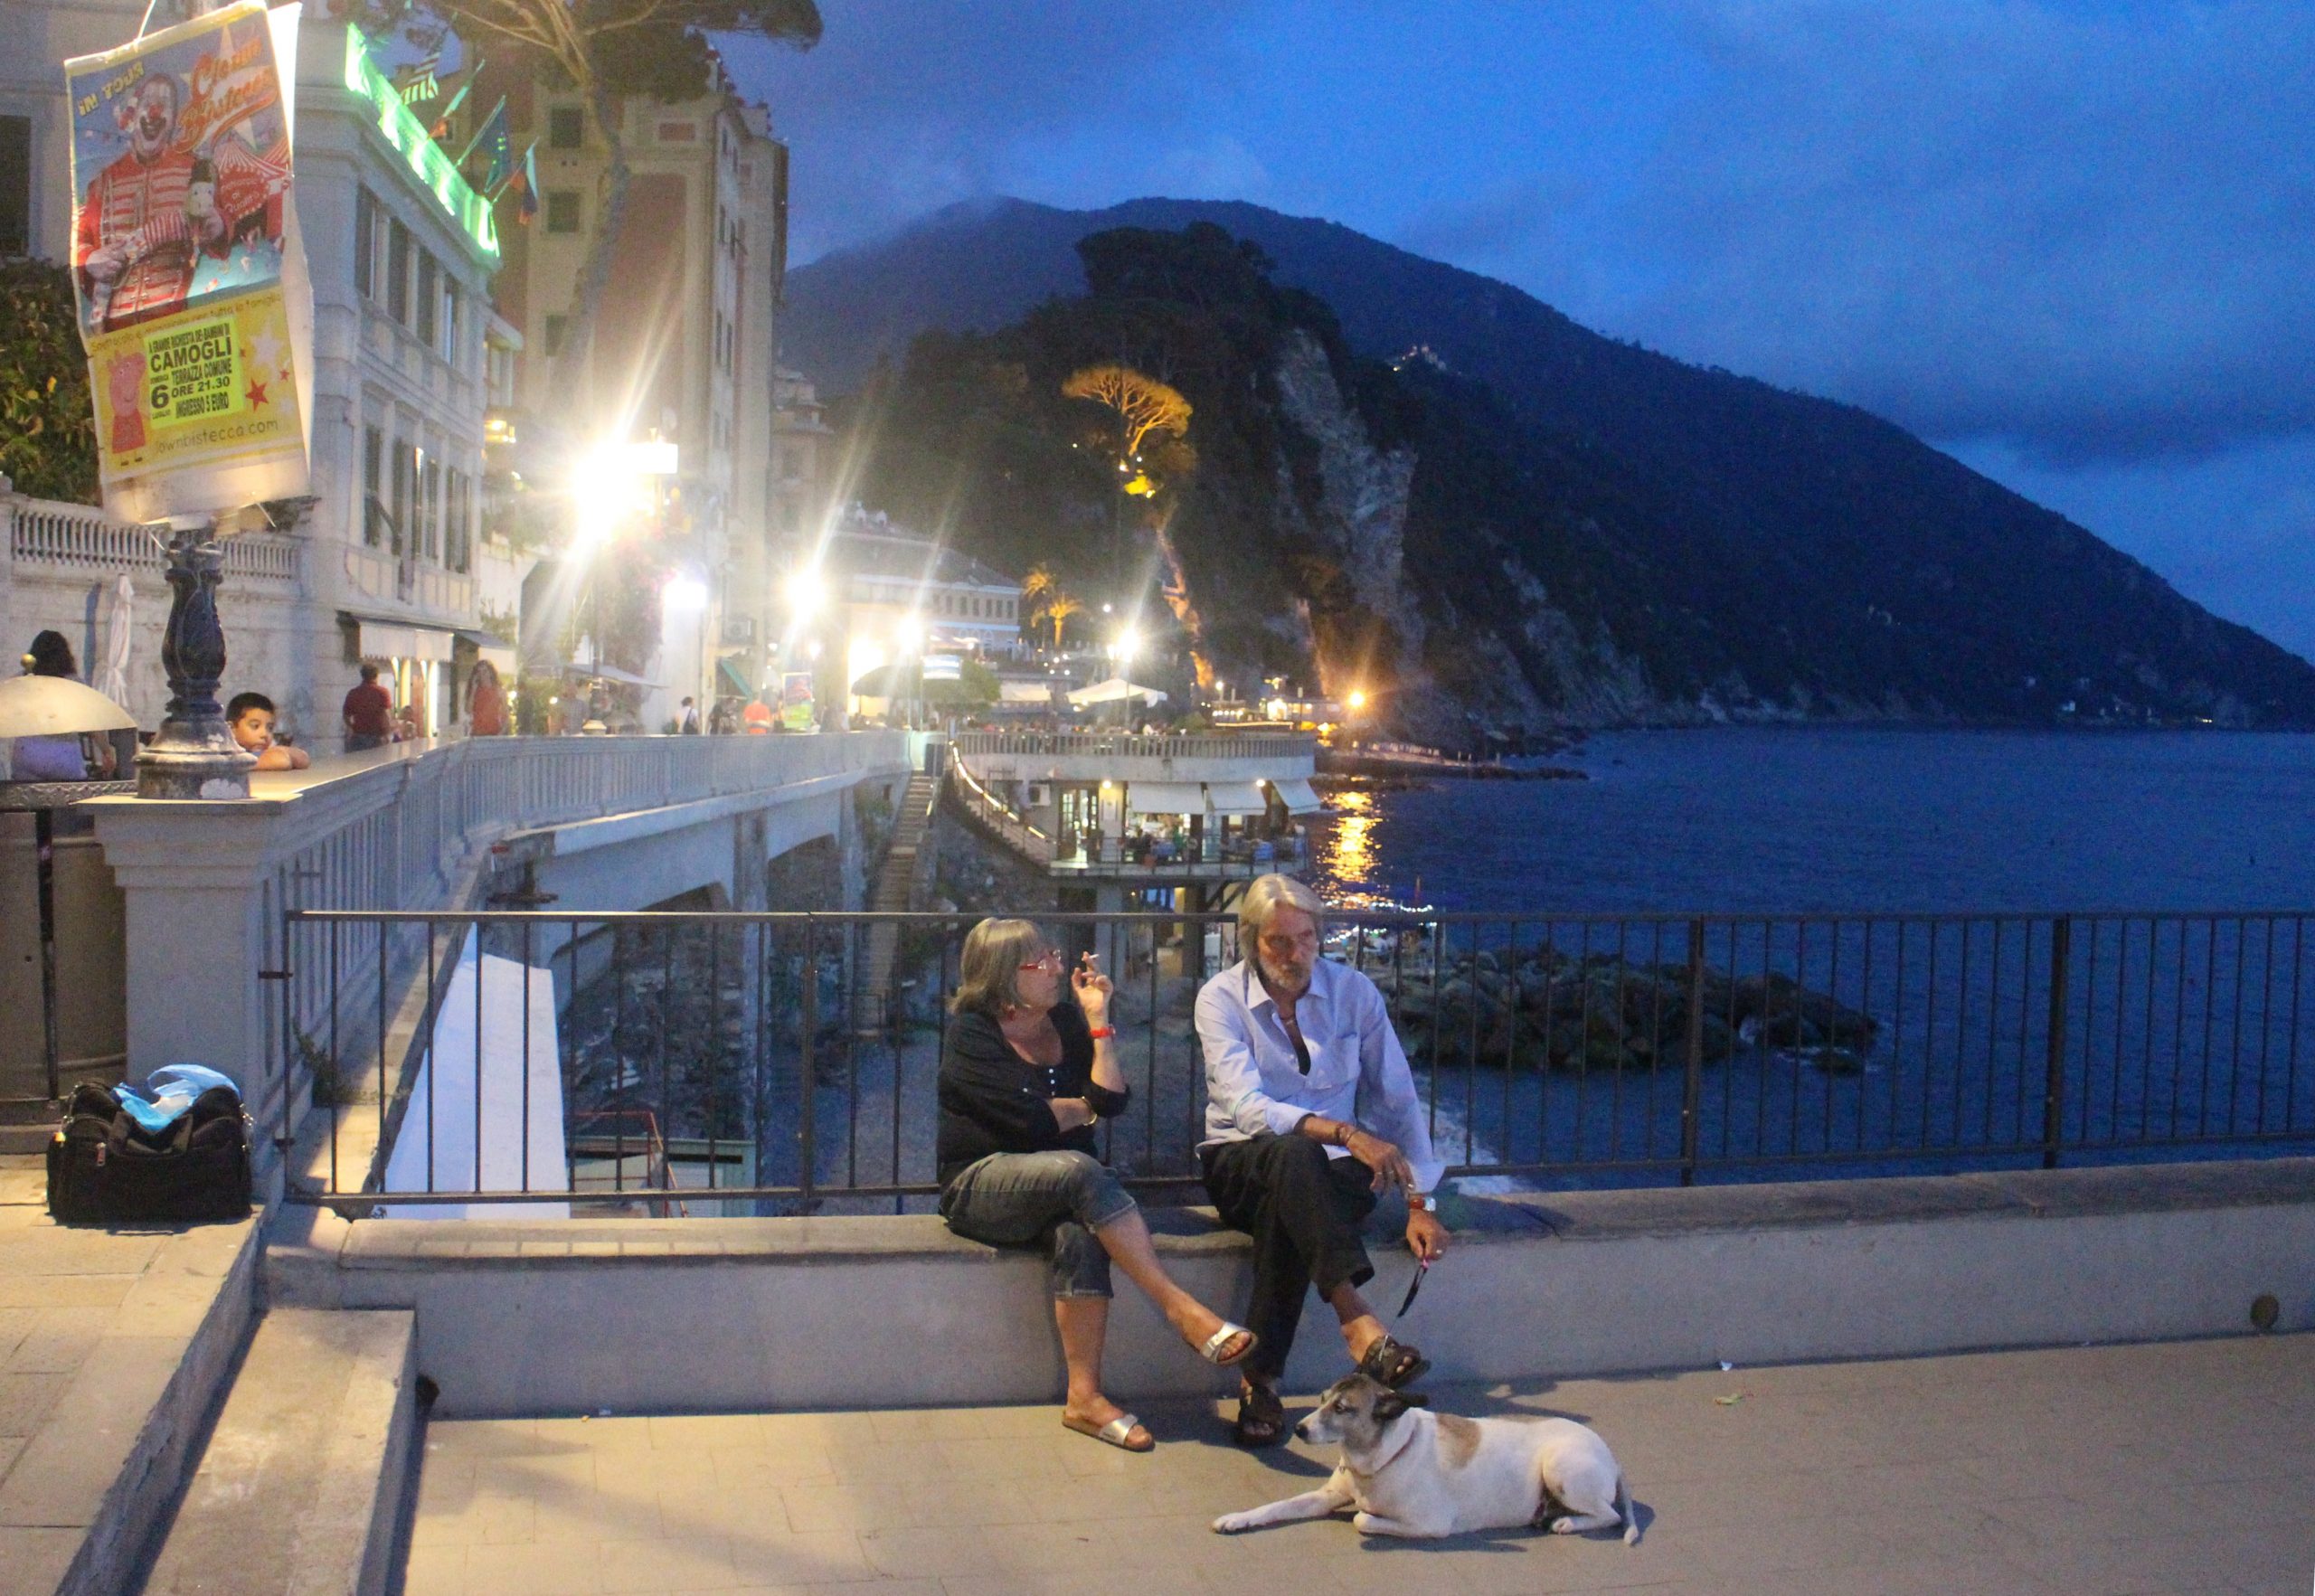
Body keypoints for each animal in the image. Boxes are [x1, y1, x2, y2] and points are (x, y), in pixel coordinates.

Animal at [1212, 1374, 1638, 1544]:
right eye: (1321, 1400)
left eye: (1343, 1408)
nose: (1299, 1429)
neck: (1380, 1456)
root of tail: (1612, 1456)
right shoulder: (1325, 1496)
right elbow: (1275, 1507)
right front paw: (1237, 1519)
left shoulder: (1432, 1523)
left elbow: (1363, 1519)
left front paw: (1365, 1515)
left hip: (1558, 1466)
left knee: (1611, 1515)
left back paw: (1567, 1522)